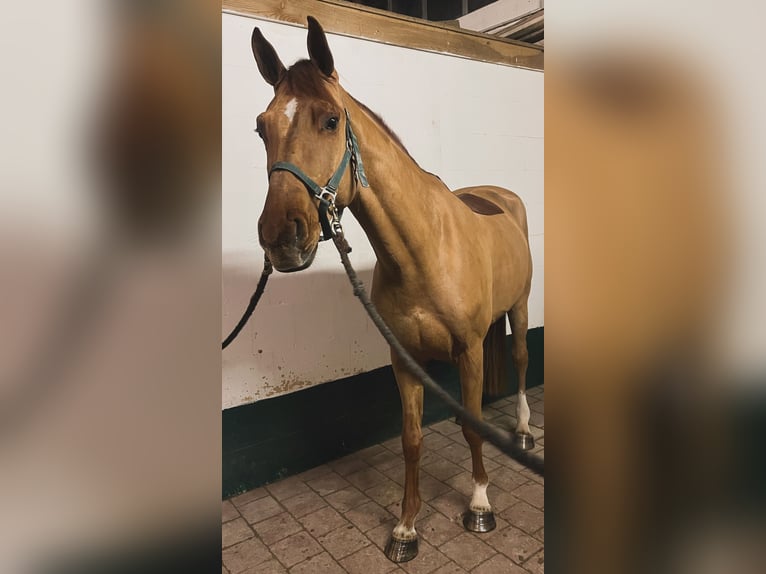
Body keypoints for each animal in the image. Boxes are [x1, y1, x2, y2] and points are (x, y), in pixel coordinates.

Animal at [250, 17, 535, 562]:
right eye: (261, 126)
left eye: (330, 120)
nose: (281, 238)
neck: (424, 250)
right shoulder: (404, 360)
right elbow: (411, 440)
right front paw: (405, 528)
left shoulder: (469, 351)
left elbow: (469, 425)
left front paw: (480, 505)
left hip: (522, 308)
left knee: (523, 359)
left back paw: (526, 432)